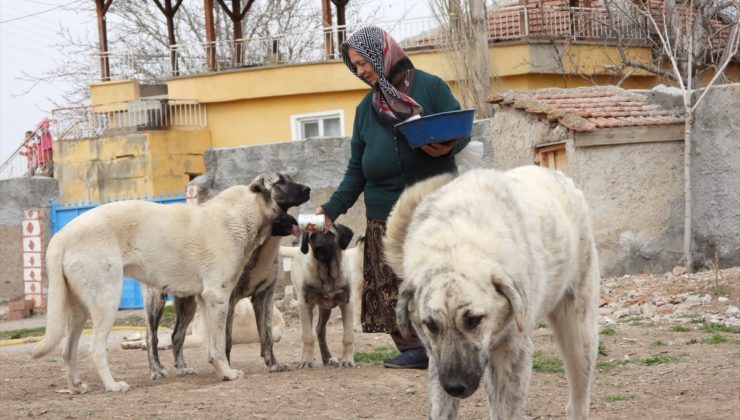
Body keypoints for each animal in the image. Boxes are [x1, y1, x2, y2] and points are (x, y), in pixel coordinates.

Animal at [31, 178, 292, 394]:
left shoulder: (206, 301)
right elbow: (218, 345)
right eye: (278, 201)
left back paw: (76, 387)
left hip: (80, 311)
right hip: (108, 301)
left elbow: (211, 346)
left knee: (68, 351)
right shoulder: (218, 298)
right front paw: (228, 372)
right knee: (96, 348)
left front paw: (220, 372)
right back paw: (113, 386)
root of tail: (62, 235)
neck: (236, 215)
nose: (295, 223)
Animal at [145, 172, 310, 378]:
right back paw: (156, 369)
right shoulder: (227, 299)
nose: (308, 189)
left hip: (187, 303)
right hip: (157, 300)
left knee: (177, 334)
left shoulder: (264, 296)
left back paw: (182, 367)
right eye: (279, 182)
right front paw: (226, 369)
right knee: (151, 337)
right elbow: (226, 340)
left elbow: (267, 335)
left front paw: (273, 364)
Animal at [384, 167, 604, 420]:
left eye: (474, 320)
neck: (456, 244)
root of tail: (556, 173)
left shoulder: (513, 353)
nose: (455, 386)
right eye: (431, 325)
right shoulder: (437, 359)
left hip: (579, 337)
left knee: (578, 401)